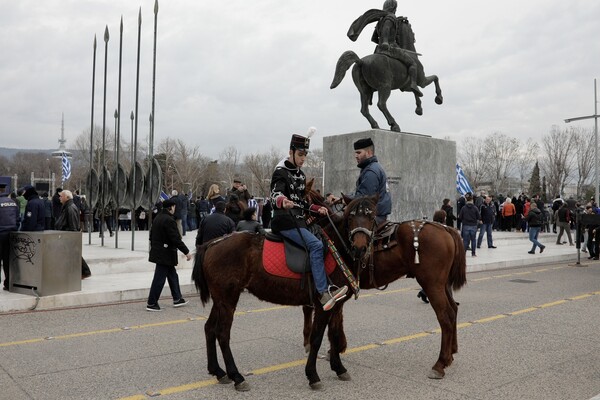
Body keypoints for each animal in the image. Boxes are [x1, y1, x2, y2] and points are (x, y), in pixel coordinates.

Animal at [302, 192, 466, 380]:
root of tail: (445, 228)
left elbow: (321, 314)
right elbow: (336, 320)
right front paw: (337, 348)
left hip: (432, 284)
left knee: (445, 316)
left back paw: (440, 363)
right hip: (442, 284)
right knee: (453, 310)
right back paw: (451, 353)